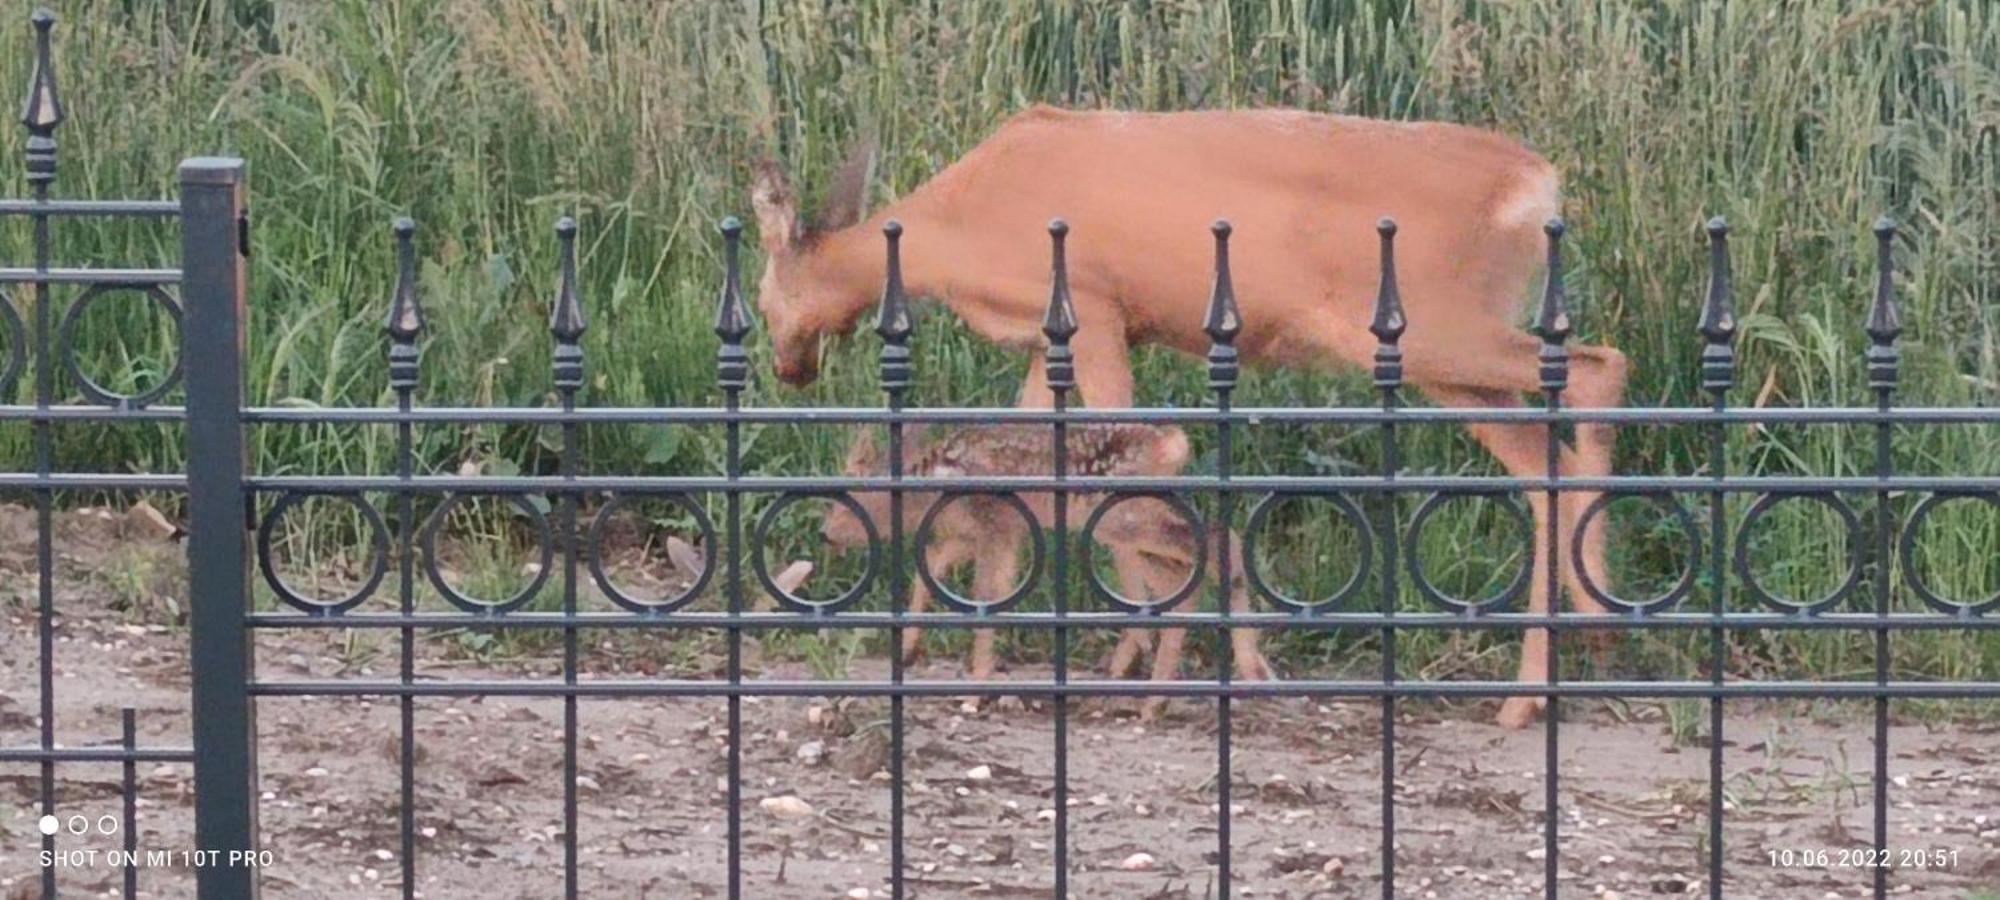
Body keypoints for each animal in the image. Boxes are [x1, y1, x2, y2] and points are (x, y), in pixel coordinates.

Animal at [820, 418, 1272, 720]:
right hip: (1125, 524)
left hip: (1120, 516)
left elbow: (985, 593)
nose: (824, 533)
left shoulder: (995, 526)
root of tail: (1173, 442)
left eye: (846, 497)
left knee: (1210, 546)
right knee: (1188, 566)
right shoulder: (980, 533)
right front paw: (910, 649)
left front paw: (975, 692)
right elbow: (932, 566)